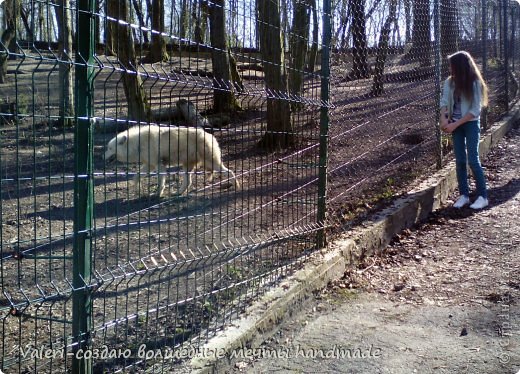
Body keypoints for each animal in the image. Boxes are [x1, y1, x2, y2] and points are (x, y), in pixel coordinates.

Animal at [104, 124, 242, 197]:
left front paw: (158, 194)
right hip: (187, 167)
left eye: (109, 148)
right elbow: (136, 177)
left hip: (211, 163)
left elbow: (160, 182)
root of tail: (210, 135)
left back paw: (236, 186)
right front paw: (136, 189)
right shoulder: (149, 165)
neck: (137, 144)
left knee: (230, 171)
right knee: (188, 182)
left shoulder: (159, 166)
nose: (102, 157)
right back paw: (178, 193)